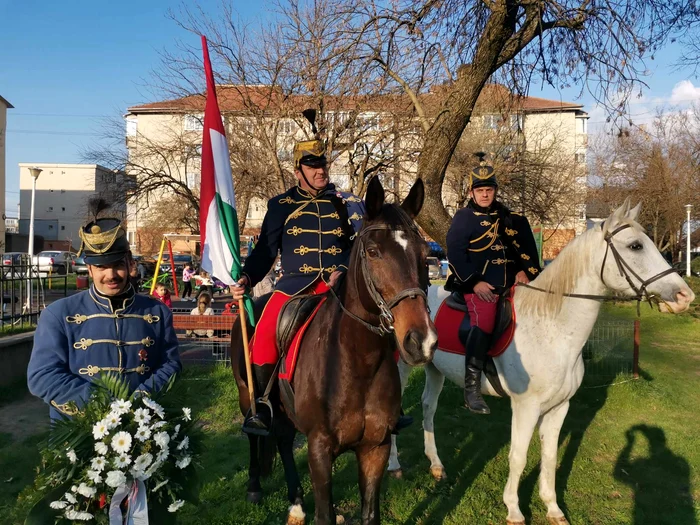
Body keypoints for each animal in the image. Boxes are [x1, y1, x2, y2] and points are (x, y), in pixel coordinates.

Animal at [232, 177, 434, 524]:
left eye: (424, 254)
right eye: (373, 252)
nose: (420, 340)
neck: (356, 360)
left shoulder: (375, 448)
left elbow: (370, 514)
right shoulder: (319, 449)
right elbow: (325, 514)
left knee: (283, 439)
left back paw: (296, 501)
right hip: (248, 396)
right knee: (256, 436)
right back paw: (255, 486)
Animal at [388, 202, 696, 524]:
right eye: (635, 245)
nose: (685, 295)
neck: (553, 328)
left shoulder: (560, 407)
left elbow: (549, 456)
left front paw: (553, 507)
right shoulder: (526, 407)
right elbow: (519, 456)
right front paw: (513, 509)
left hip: (435, 369)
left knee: (428, 407)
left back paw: (436, 464)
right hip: (401, 367)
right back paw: (394, 465)